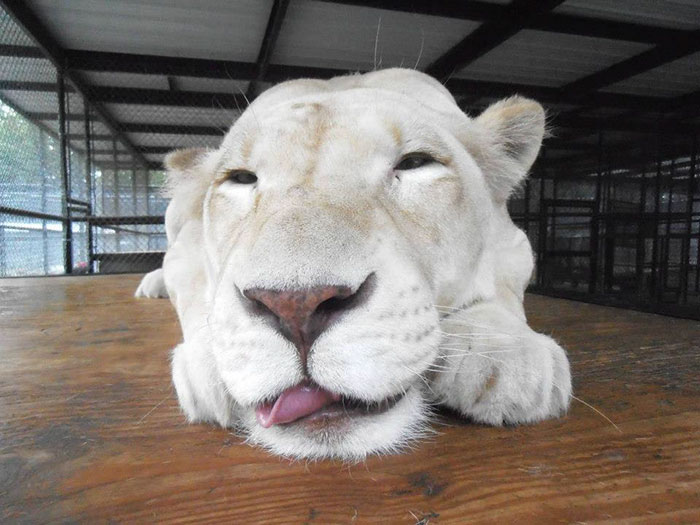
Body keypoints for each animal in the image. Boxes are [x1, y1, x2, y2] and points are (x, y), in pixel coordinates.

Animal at [135, 68, 571, 460]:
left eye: (415, 163)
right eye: (241, 179)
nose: (295, 307)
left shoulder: (514, 240)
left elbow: (506, 287)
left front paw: (505, 354)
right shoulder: (186, 248)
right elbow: (194, 292)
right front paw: (210, 369)